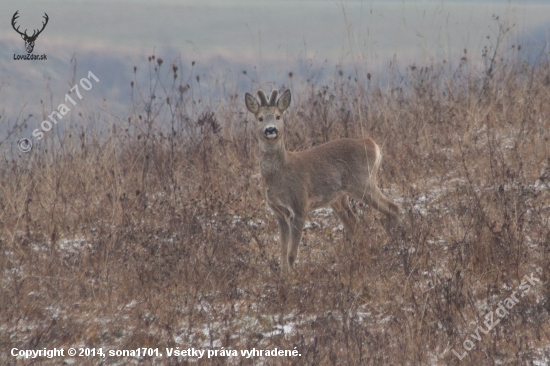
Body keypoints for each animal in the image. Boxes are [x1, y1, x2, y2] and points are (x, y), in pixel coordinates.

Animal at [248, 89, 404, 274]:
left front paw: (293, 277)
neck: (280, 174)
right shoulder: (279, 213)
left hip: (363, 183)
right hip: (339, 198)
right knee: (355, 224)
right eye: (260, 118)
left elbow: (291, 254)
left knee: (393, 208)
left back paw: (394, 245)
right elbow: (282, 251)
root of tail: (371, 143)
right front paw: (283, 276)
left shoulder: (299, 206)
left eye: (278, 116)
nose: (270, 129)